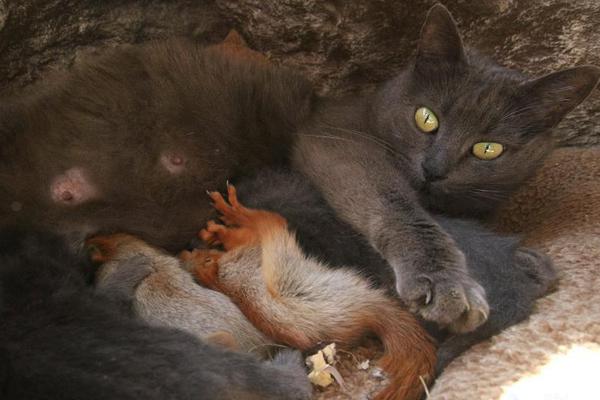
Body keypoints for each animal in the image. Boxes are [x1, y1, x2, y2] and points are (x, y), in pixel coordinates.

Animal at [179, 184, 436, 400]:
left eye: (197, 254)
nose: (184, 251)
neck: (221, 276)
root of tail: (371, 311)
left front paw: (214, 232)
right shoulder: (252, 247)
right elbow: (245, 233)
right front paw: (224, 224)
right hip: (279, 242)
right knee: (268, 219)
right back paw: (234, 211)